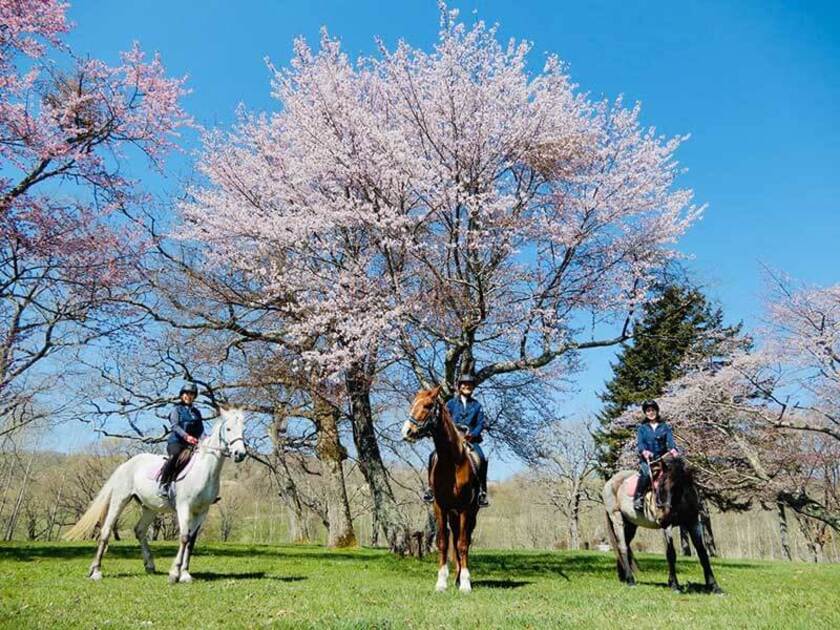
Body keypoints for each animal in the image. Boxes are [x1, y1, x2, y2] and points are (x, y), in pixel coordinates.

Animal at [64, 408, 246, 584]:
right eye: (228, 429)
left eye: (242, 429)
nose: (240, 454)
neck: (204, 471)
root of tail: (126, 464)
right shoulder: (184, 507)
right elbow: (184, 537)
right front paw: (174, 573)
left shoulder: (202, 511)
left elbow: (191, 541)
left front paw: (185, 574)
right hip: (120, 500)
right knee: (106, 530)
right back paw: (96, 571)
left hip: (150, 508)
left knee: (139, 530)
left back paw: (149, 565)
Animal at [406, 388, 482, 596]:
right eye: (413, 403)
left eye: (428, 405)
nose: (406, 431)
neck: (451, 461)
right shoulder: (440, 507)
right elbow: (443, 543)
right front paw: (441, 582)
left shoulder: (464, 509)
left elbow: (463, 544)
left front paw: (465, 584)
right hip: (453, 515)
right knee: (454, 541)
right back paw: (455, 578)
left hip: (470, 514)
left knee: (464, 541)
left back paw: (461, 578)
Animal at [604, 456, 720, 596]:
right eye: (660, 486)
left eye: (677, 488)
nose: (661, 517)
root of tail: (610, 481)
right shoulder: (667, 526)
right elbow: (671, 554)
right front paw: (674, 585)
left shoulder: (693, 523)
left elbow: (703, 553)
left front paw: (714, 586)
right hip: (617, 519)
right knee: (622, 547)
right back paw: (630, 580)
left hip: (631, 525)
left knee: (624, 544)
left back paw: (624, 577)